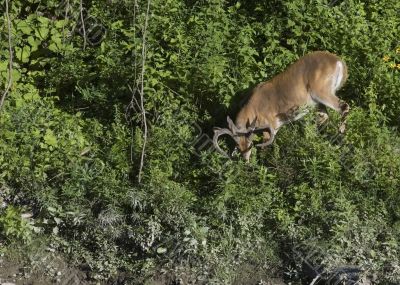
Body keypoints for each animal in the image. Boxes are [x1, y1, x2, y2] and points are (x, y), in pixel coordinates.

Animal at [214, 50, 348, 161]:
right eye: (237, 145)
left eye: (250, 144)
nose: (245, 160)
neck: (254, 109)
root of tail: (339, 62)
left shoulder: (271, 125)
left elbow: (265, 148)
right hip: (318, 102)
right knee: (324, 118)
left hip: (321, 91)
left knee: (343, 107)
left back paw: (340, 138)